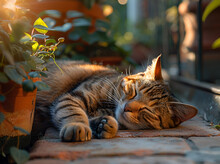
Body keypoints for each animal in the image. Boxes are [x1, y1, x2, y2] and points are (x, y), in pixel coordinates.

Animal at [32, 55, 198, 142]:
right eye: (135, 91)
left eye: (147, 110)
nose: (127, 107)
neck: (109, 107)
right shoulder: (74, 96)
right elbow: (73, 112)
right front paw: (77, 126)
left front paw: (104, 125)